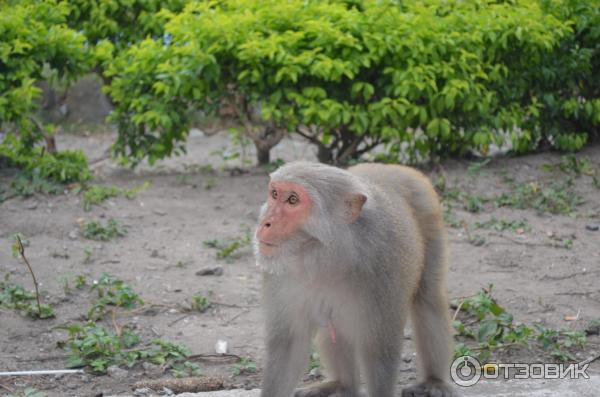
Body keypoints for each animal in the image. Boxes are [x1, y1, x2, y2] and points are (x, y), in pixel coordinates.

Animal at [253, 160, 454, 396]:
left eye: (293, 199)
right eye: (274, 194)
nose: (265, 223)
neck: (325, 255)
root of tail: (391, 166)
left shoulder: (383, 269)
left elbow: (378, 350)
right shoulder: (281, 276)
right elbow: (289, 345)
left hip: (429, 213)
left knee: (428, 298)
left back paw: (433, 381)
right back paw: (341, 384)